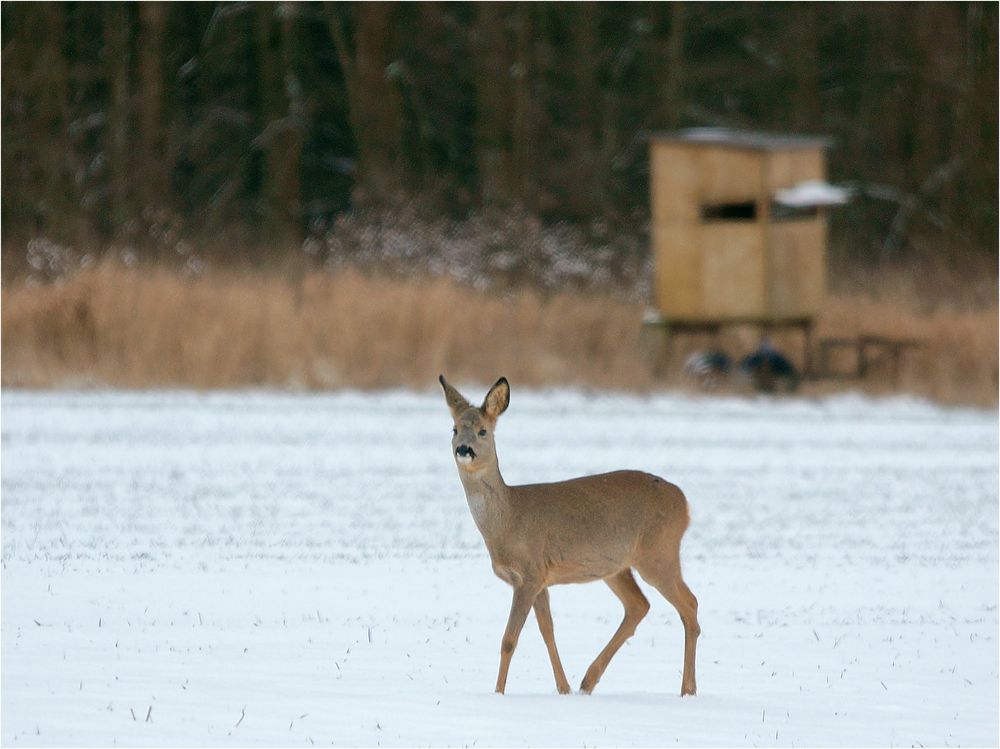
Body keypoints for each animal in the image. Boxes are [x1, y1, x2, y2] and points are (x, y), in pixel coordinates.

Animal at [442, 376, 700, 700]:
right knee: (639, 605)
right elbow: (547, 631)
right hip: (616, 567)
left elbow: (510, 639)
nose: (464, 449)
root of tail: (685, 503)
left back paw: (688, 690)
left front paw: (498, 693)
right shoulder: (540, 580)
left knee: (689, 604)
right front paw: (563, 688)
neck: (509, 519)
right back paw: (588, 681)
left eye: (482, 431)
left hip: (658, 553)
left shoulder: (529, 573)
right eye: (454, 429)